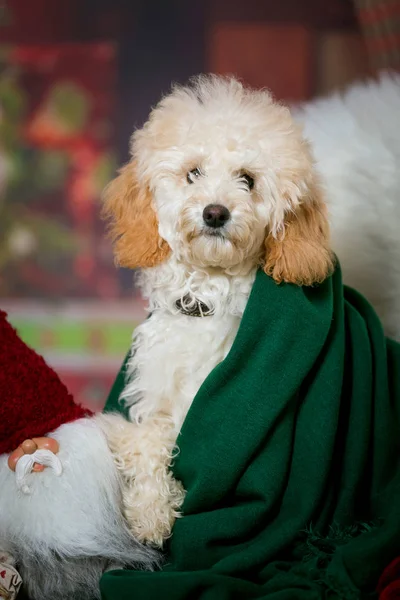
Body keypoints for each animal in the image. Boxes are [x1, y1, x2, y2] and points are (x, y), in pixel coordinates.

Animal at [102, 75, 334, 548]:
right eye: (193, 173)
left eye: (247, 179)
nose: (215, 212)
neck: (204, 300)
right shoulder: (159, 400)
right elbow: (145, 442)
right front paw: (151, 511)